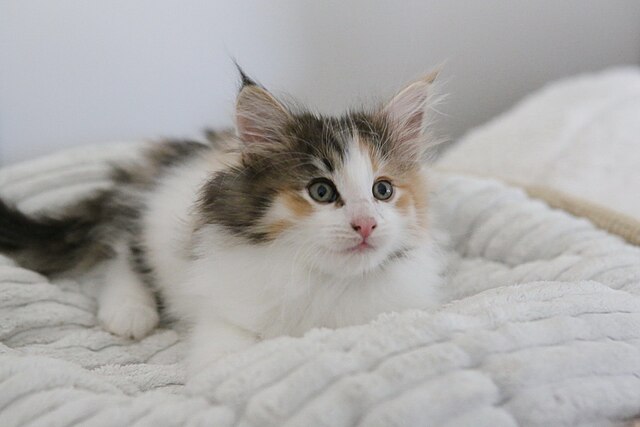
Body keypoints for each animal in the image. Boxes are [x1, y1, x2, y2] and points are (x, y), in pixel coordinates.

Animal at [0, 71, 448, 374]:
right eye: (321, 191)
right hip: (151, 225)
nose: (366, 224)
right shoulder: (223, 312)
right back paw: (128, 310)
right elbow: (229, 363)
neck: (328, 283)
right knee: (122, 247)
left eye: (382, 190)